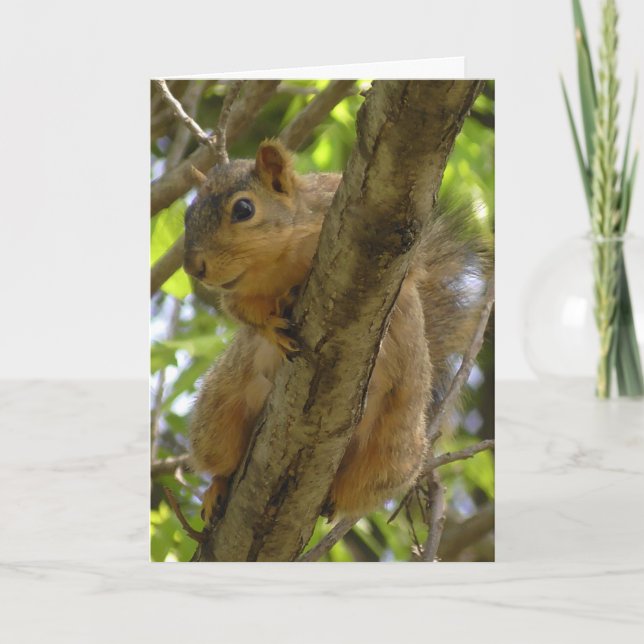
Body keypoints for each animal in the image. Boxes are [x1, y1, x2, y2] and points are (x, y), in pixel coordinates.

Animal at [183, 139, 491, 523]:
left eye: (243, 209)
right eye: (187, 215)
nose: (193, 267)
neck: (281, 258)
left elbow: (409, 276)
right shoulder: (237, 294)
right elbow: (244, 313)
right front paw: (273, 325)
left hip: (393, 448)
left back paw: (333, 499)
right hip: (219, 406)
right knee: (222, 457)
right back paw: (218, 486)